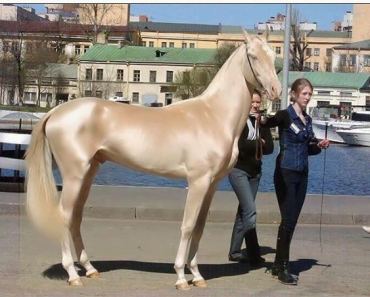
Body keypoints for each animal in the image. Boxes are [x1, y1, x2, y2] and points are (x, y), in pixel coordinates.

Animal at [25, 29, 280, 290]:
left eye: (272, 56)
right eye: (253, 56)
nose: (275, 90)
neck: (213, 115)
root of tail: (56, 112)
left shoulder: (212, 184)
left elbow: (199, 227)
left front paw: (197, 275)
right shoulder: (198, 181)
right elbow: (187, 226)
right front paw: (181, 277)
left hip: (88, 173)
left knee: (75, 217)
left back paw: (89, 269)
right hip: (74, 175)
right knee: (64, 216)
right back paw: (73, 274)